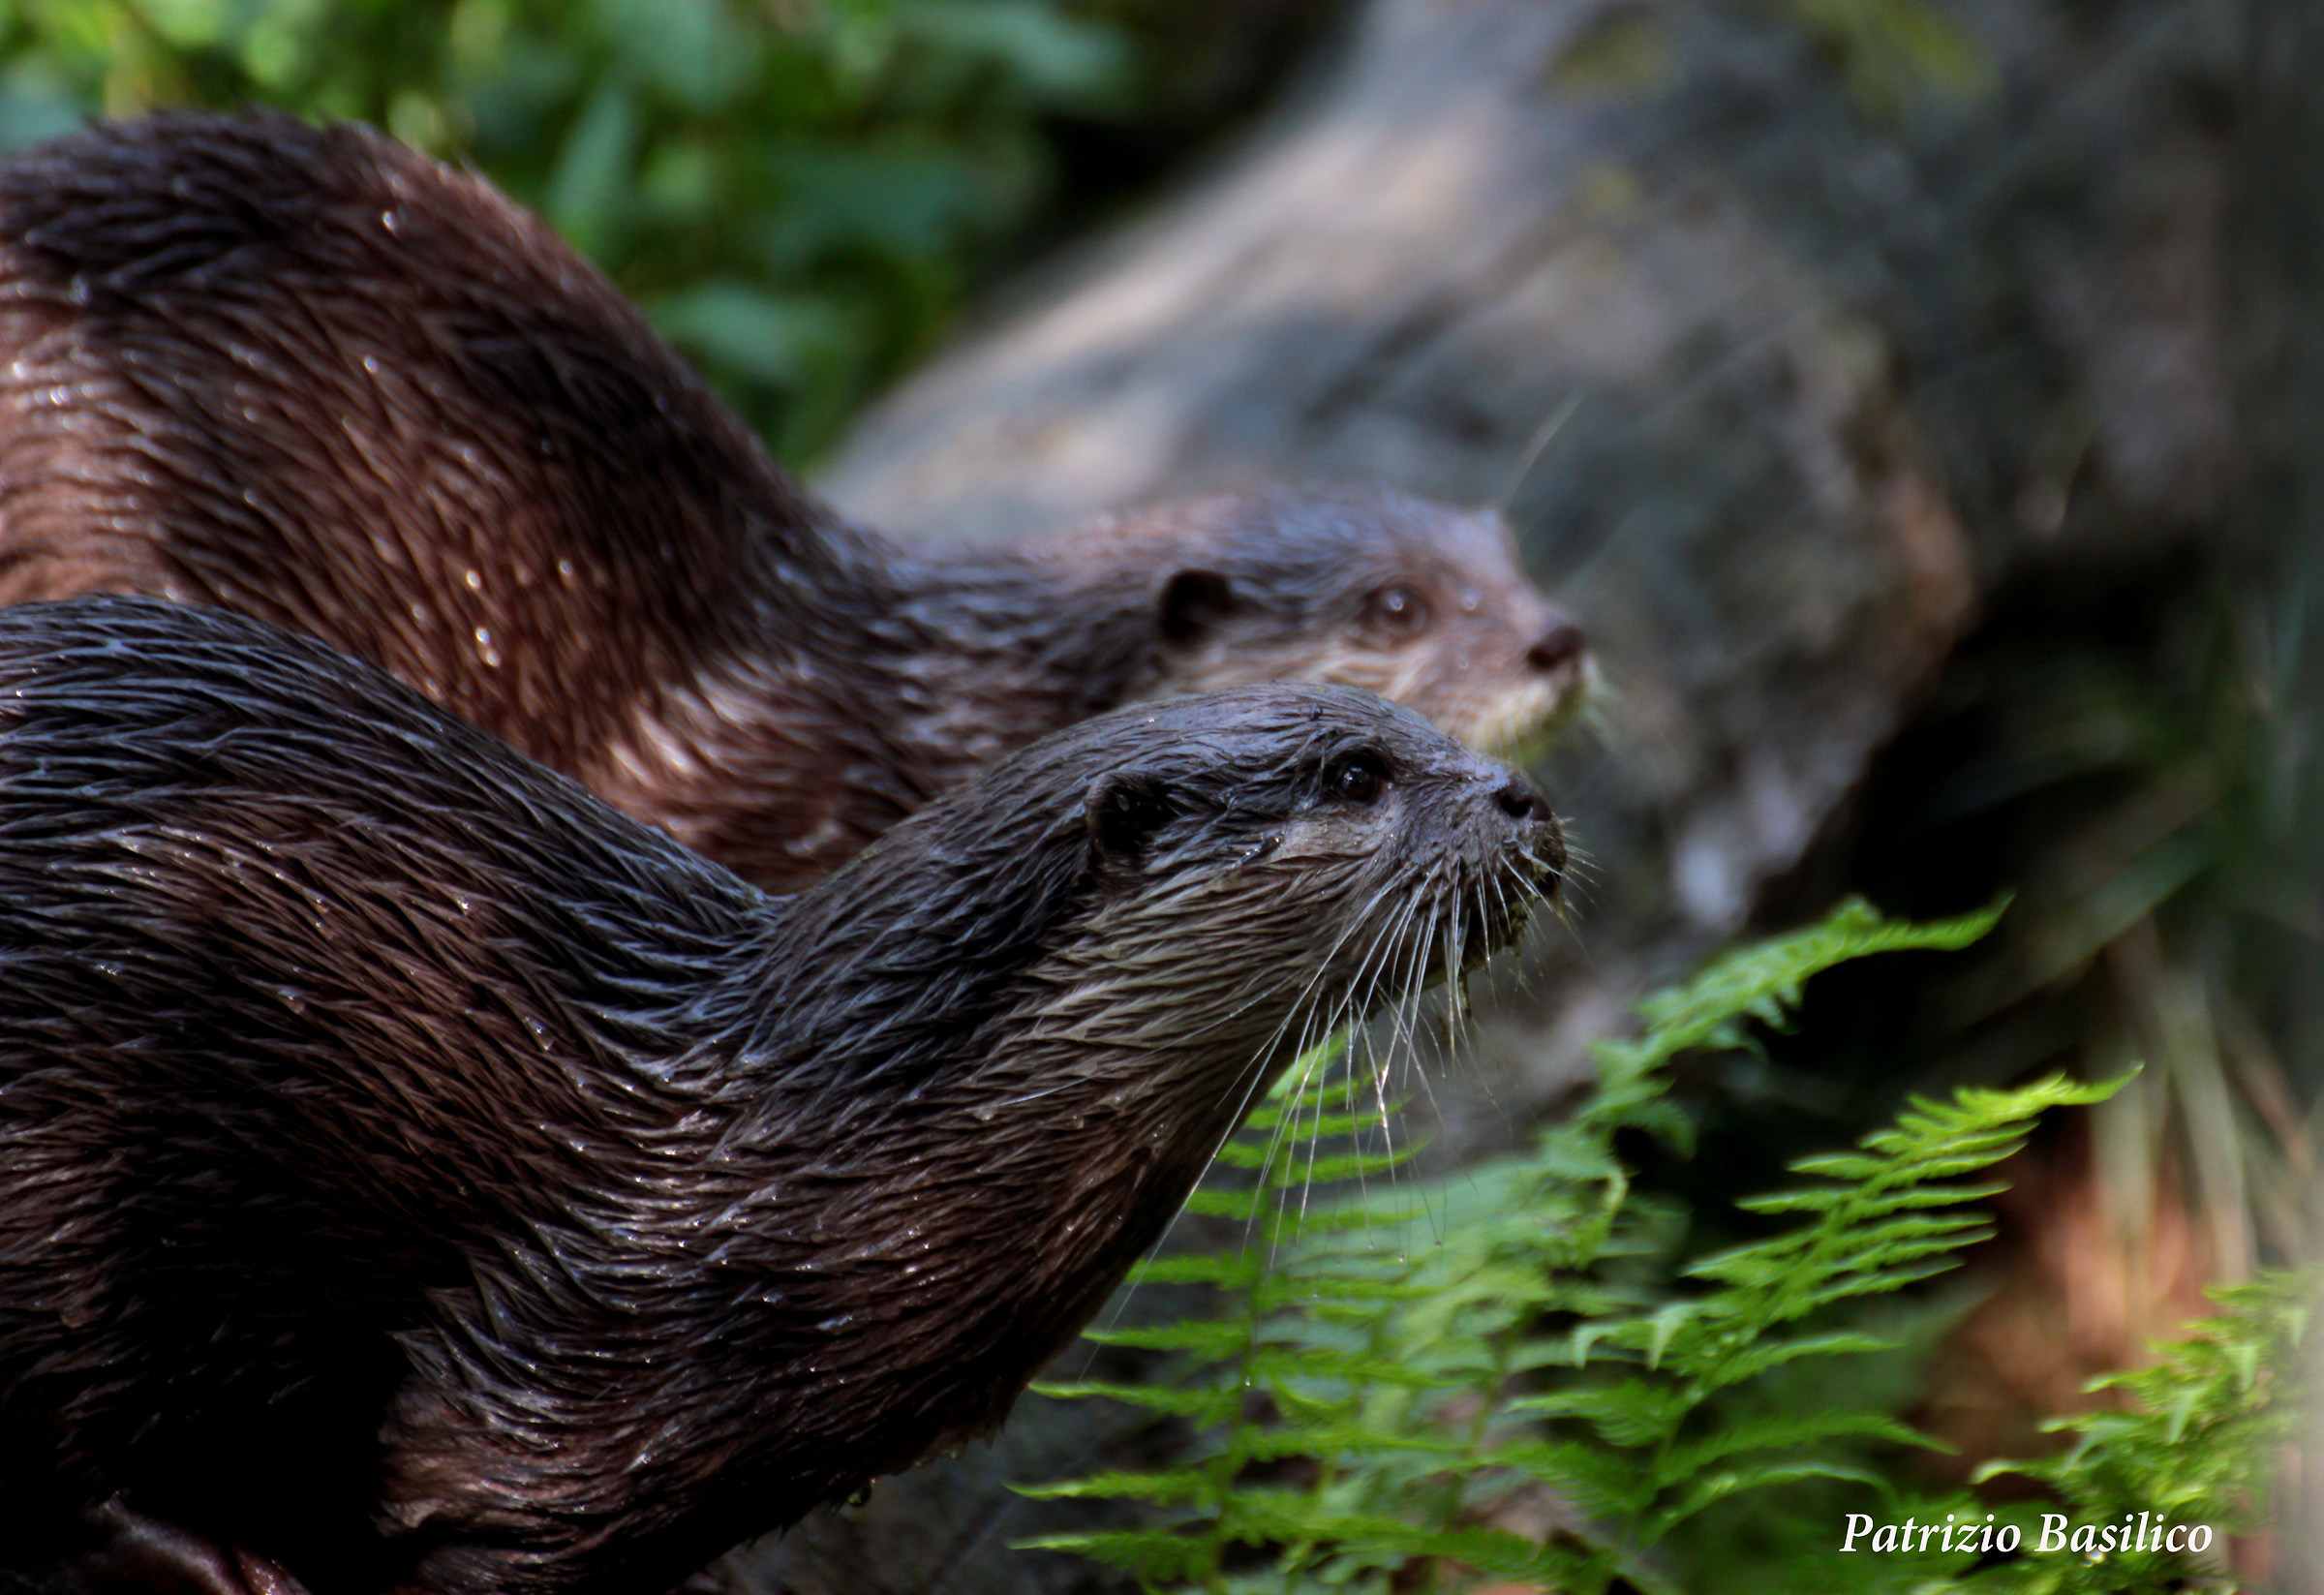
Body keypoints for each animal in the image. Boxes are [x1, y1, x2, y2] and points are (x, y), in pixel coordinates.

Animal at [0, 598, 1562, 1595]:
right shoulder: (557, 1382)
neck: (819, 1145)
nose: (1524, 795)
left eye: (1426, 721)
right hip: (78, 1148)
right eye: (1356, 771)